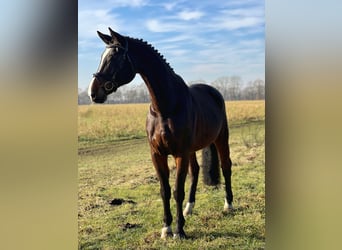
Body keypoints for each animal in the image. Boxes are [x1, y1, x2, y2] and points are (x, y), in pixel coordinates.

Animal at [87, 27, 234, 238]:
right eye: (102, 56)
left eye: (114, 57)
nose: (93, 92)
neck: (166, 107)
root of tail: (214, 92)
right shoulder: (157, 154)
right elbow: (165, 190)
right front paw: (166, 228)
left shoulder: (180, 153)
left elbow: (177, 190)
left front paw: (180, 231)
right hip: (193, 149)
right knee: (196, 171)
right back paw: (189, 208)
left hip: (221, 138)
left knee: (226, 166)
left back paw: (228, 205)